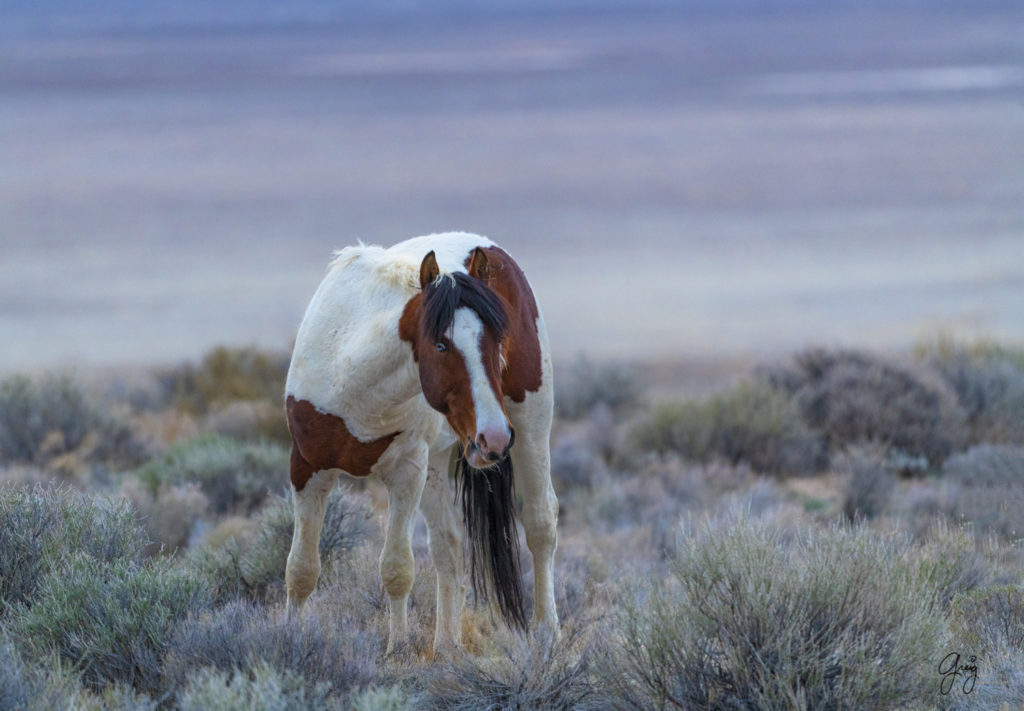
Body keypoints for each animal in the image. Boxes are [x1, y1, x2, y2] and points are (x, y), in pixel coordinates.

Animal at [282, 233, 561, 655]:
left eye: (498, 339)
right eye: (441, 345)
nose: (494, 437)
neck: (350, 371)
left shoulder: (407, 472)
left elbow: (396, 569)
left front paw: (396, 651)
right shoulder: (307, 468)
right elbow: (301, 569)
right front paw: (290, 640)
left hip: (530, 423)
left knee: (541, 525)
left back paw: (547, 631)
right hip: (440, 460)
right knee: (449, 546)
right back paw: (446, 645)